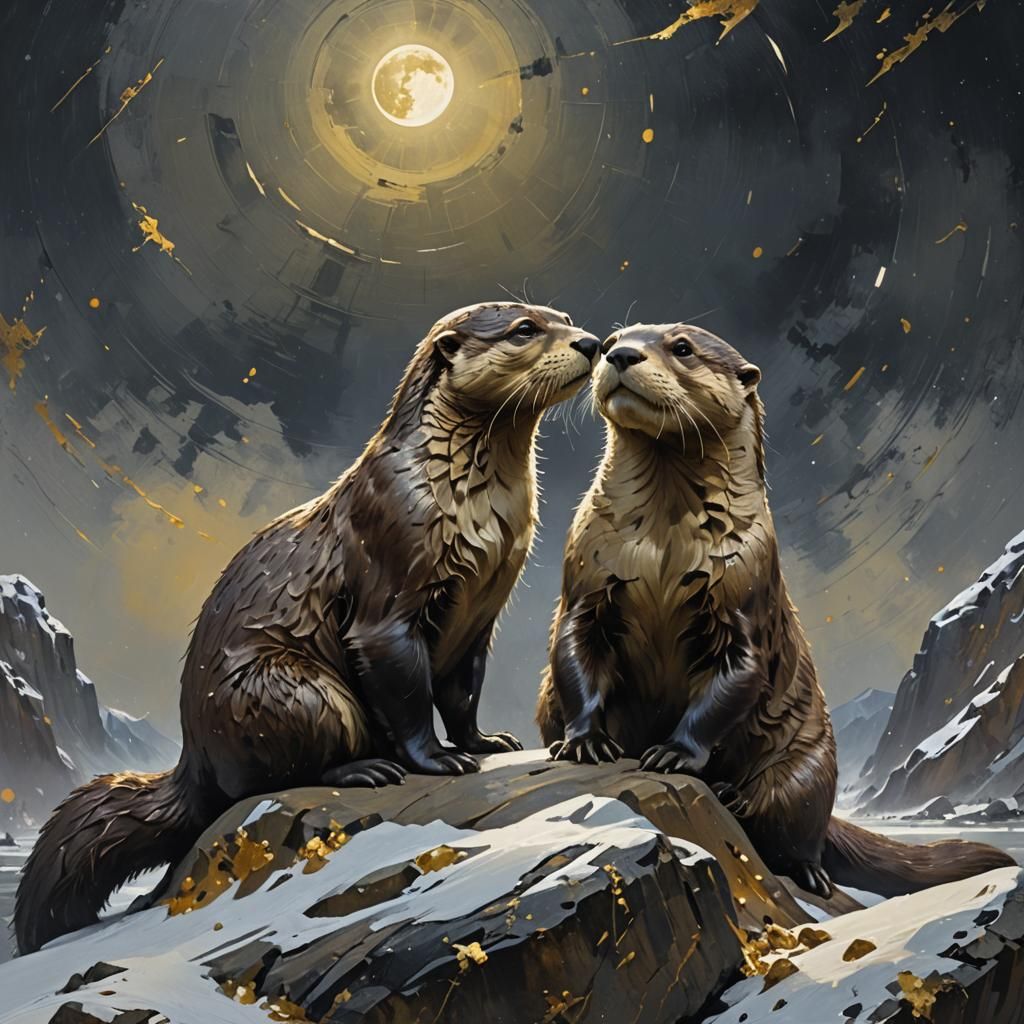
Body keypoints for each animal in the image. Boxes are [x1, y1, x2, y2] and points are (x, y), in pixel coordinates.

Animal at [16, 302, 601, 954]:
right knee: (274, 773)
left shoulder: (480, 617)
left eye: (563, 315)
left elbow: (461, 693)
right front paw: (438, 759)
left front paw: (485, 742)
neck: (461, 503)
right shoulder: (389, 587)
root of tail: (194, 760)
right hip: (290, 691)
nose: (591, 342)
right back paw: (366, 768)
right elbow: (407, 693)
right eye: (524, 330)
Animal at [536, 321, 1013, 898]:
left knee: (796, 829)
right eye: (611, 340)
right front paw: (586, 741)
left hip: (809, 768)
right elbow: (573, 654)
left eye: (681, 348)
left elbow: (734, 681)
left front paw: (675, 753)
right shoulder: (587, 577)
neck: (661, 552)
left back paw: (773, 835)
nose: (620, 354)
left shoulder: (744, 594)